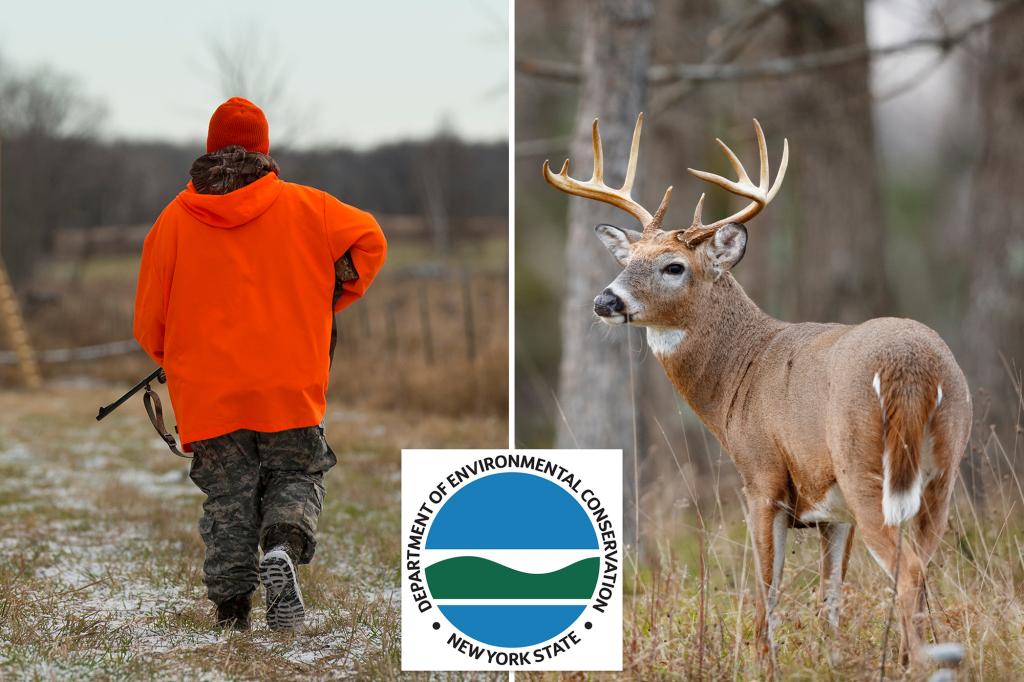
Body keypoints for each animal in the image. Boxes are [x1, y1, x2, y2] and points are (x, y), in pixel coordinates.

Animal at [543, 114, 972, 672]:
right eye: (628, 257)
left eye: (674, 266)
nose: (604, 300)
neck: (740, 377)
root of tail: (912, 367)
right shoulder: (832, 510)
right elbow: (830, 598)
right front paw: (829, 661)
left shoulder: (762, 477)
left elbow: (767, 589)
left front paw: (762, 661)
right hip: (941, 472)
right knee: (923, 565)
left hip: (865, 466)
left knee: (910, 572)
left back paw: (916, 665)